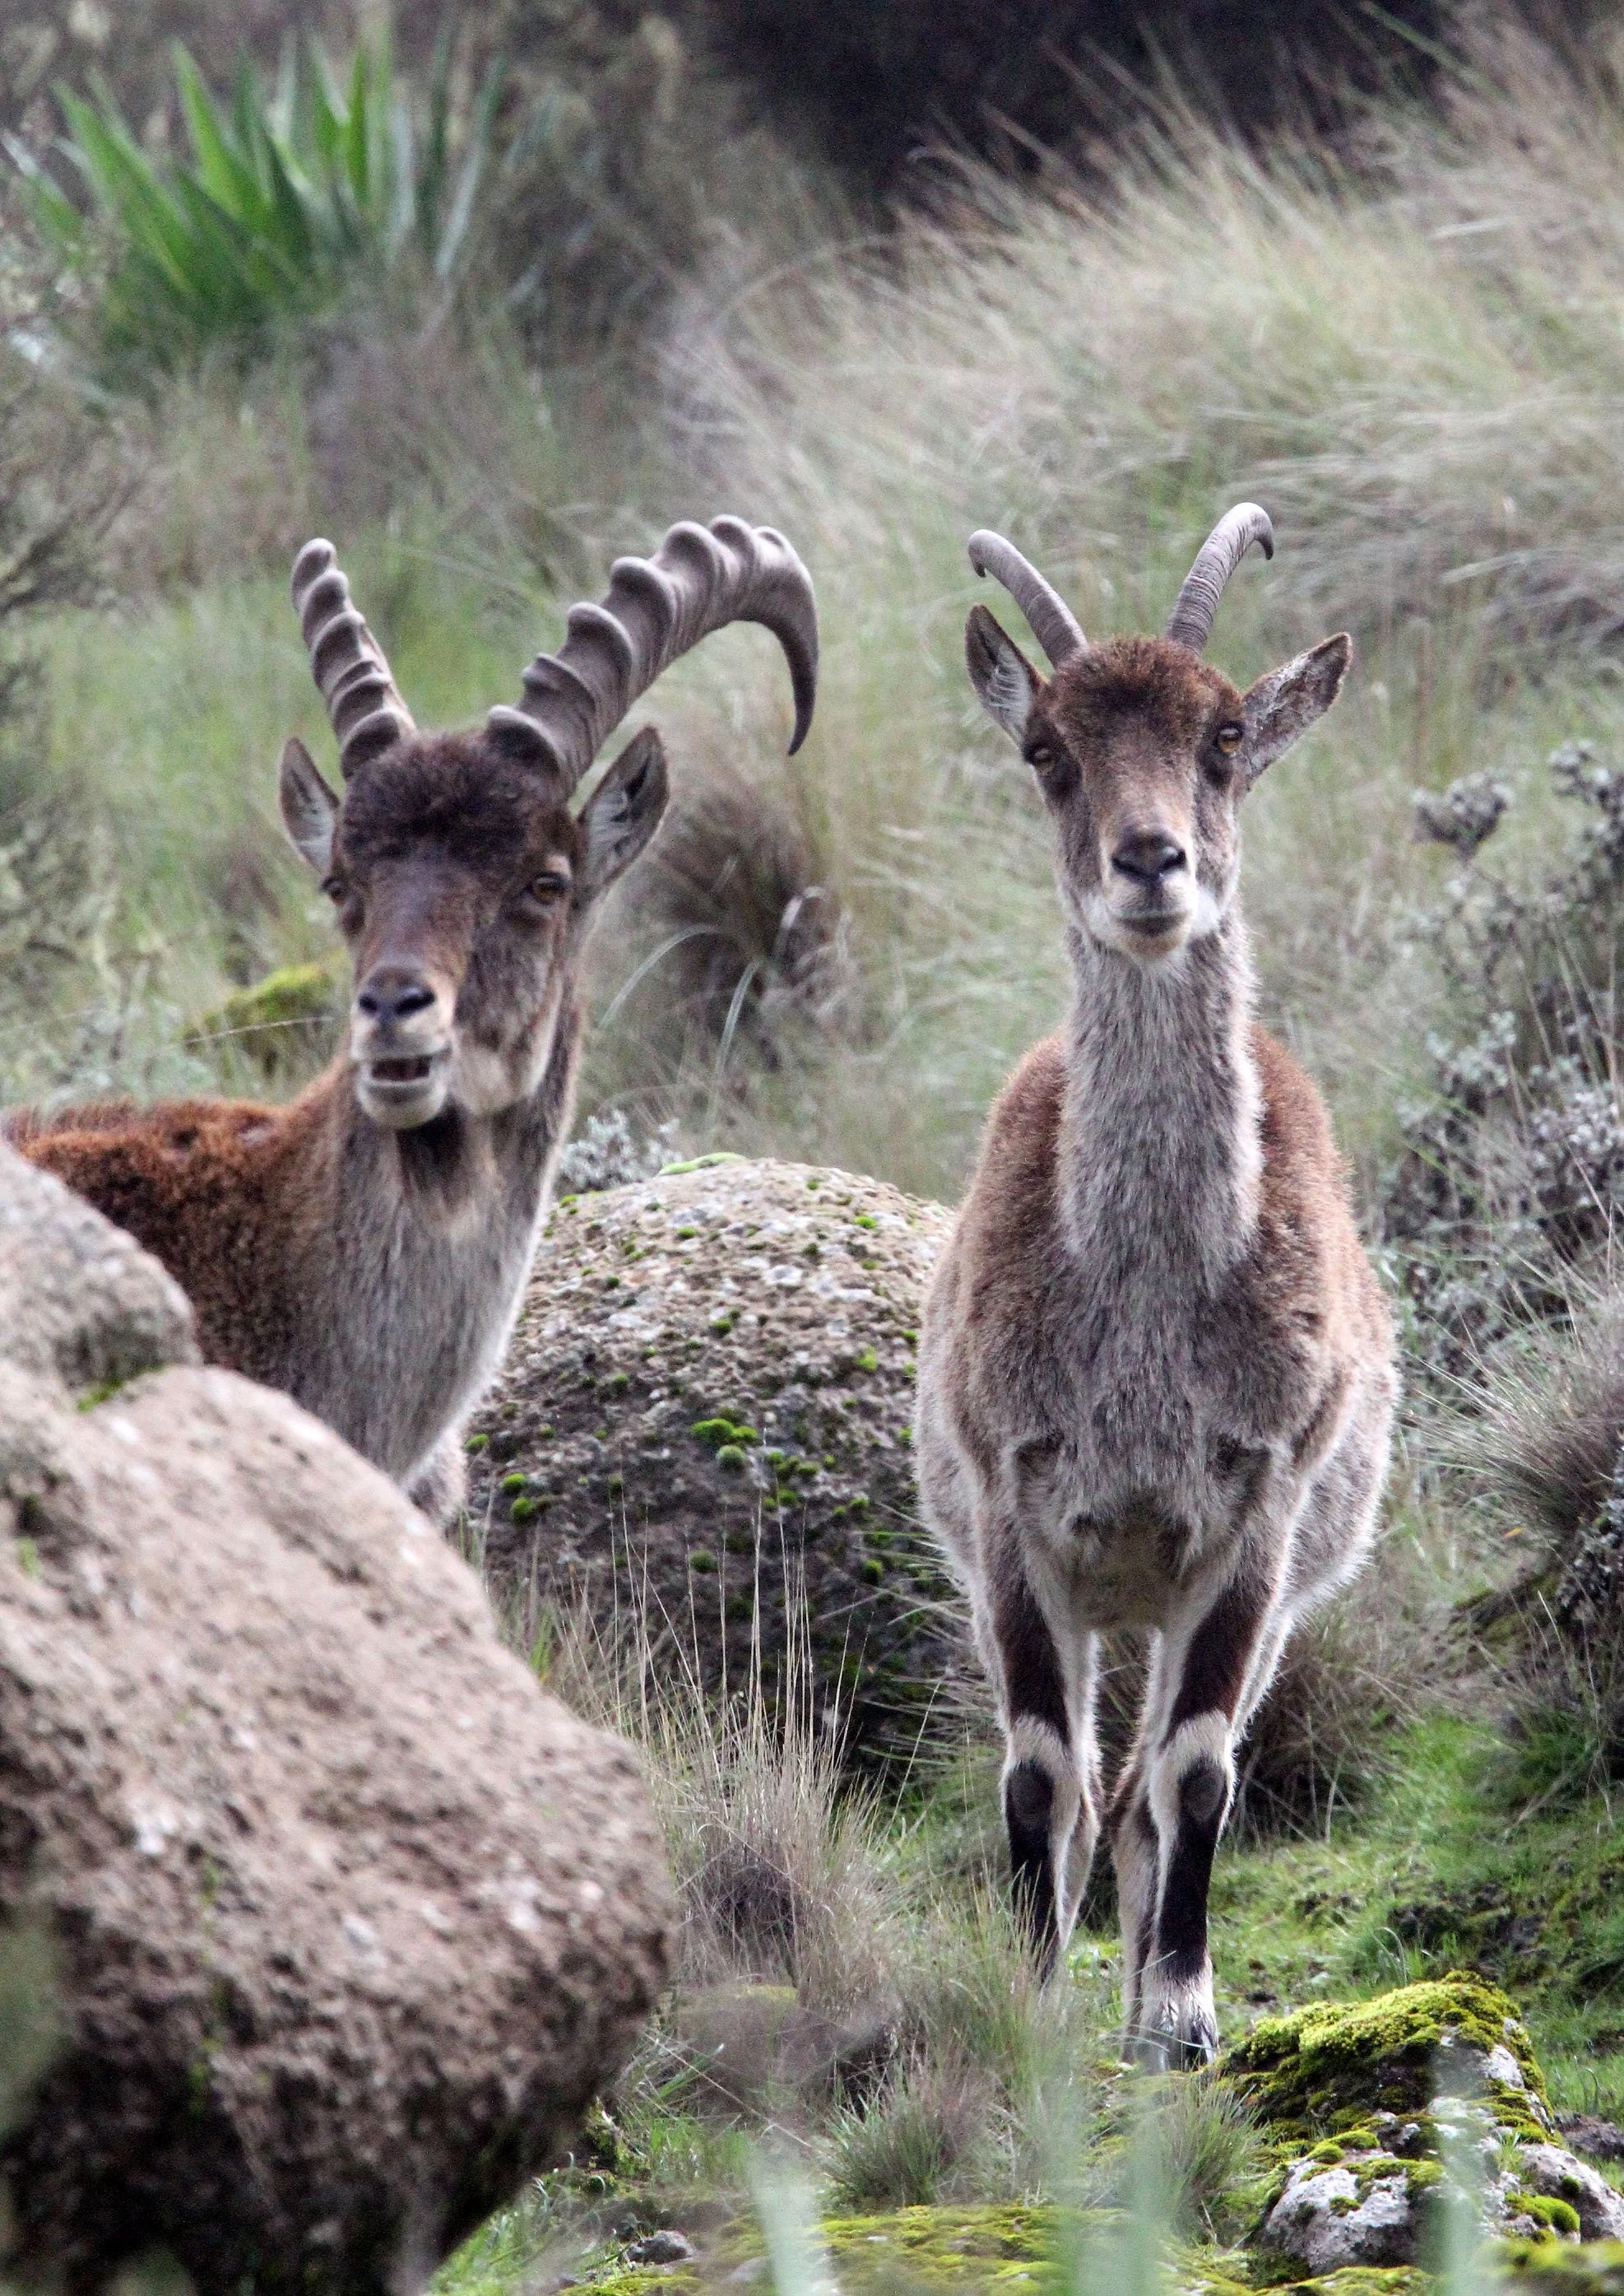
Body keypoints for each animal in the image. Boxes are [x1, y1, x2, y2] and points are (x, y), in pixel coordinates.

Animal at [915, 506, 1397, 2063]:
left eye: (1226, 732)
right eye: (1045, 750)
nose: (1149, 862)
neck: (1137, 1307)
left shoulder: (1254, 1512)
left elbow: (1191, 1772)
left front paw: (1177, 2008)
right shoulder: (1014, 1507)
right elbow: (1034, 1774)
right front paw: (1030, 1998)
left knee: (1149, 1786)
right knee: (1088, 1783)